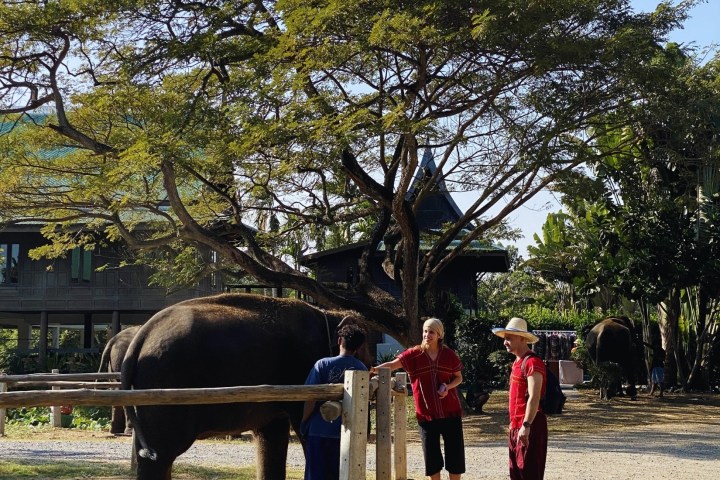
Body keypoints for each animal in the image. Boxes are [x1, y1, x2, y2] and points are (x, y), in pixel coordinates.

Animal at [121, 292, 364, 480]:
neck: (327, 314)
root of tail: (141, 336)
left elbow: (271, 434)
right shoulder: (302, 366)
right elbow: (304, 421)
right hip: (165, 387)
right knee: (162, 453)